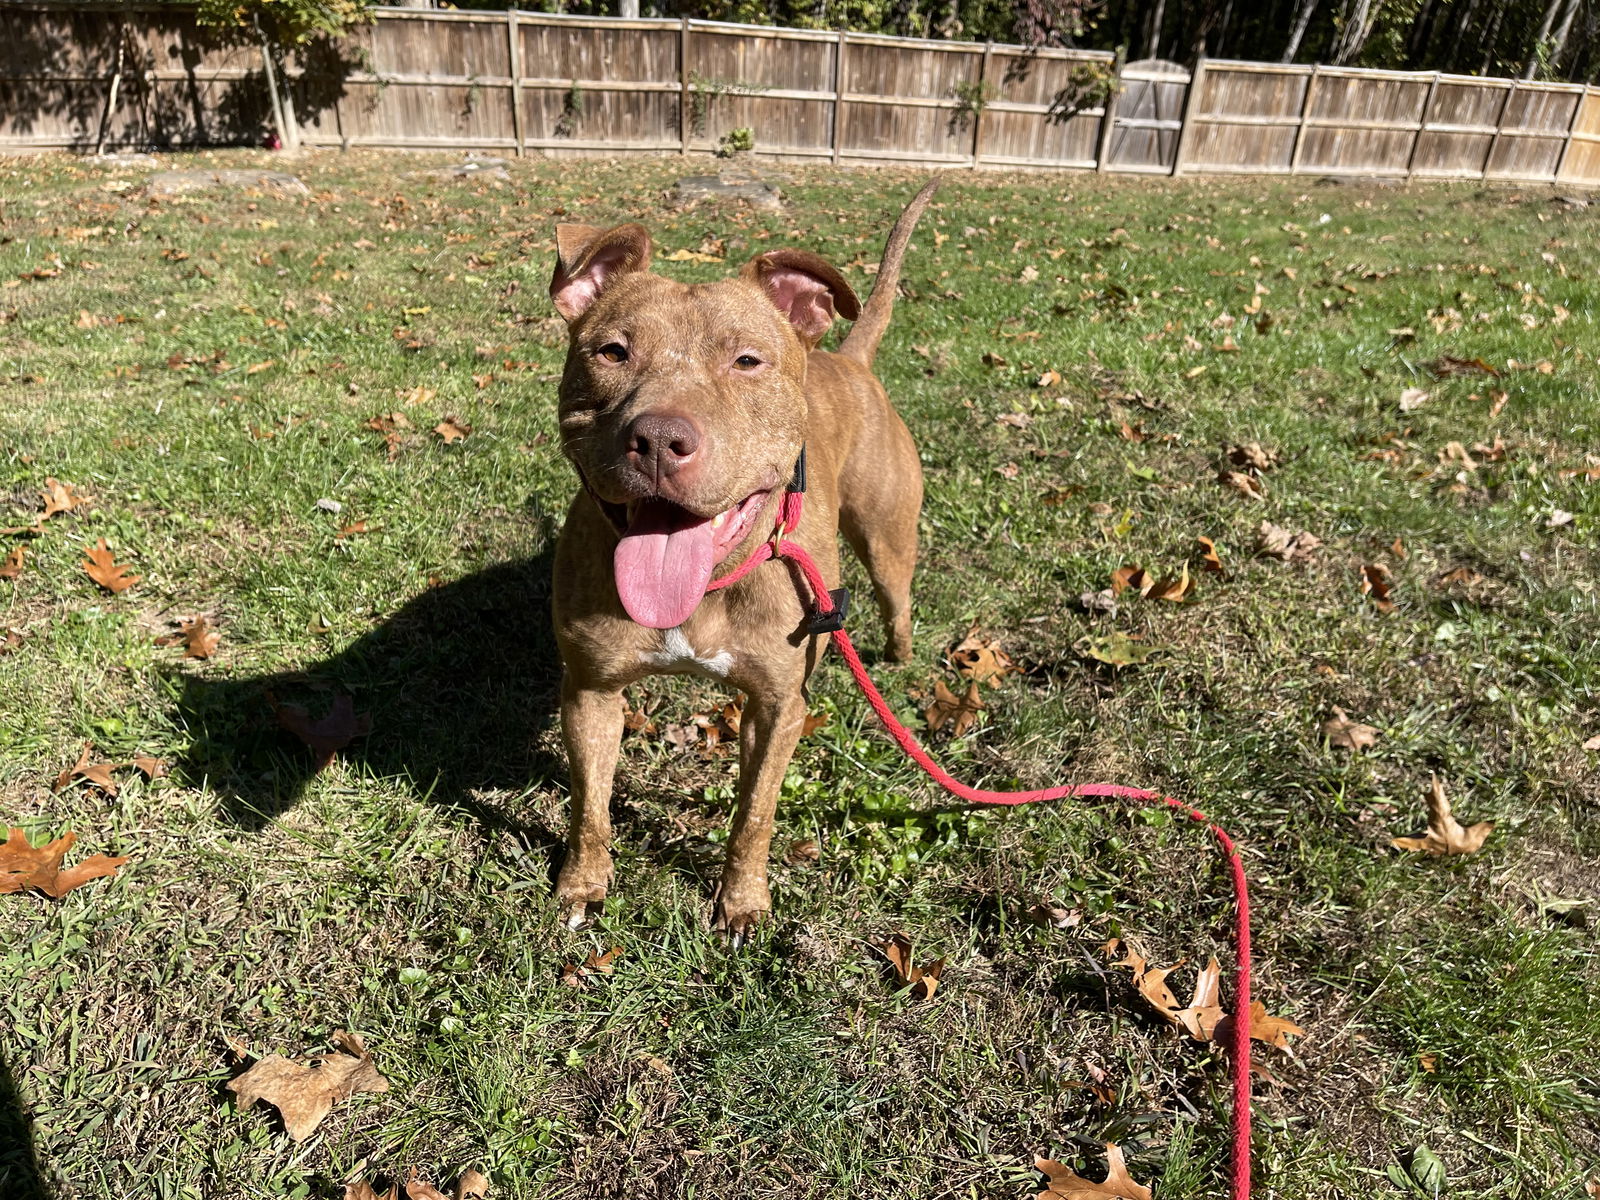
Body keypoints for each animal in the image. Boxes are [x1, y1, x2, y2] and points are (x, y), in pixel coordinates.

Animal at [544, 176, 934, 940]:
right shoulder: (591, 692)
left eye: (746, 361)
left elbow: (754, 814)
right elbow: (589, 805)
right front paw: (582, 884)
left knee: (896, 596)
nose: (659, 439)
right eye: (612, 352)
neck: (703, 589)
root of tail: (846, 356)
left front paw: (743, 901)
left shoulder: (779, 706)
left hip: (886, 539)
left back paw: (898, 661)